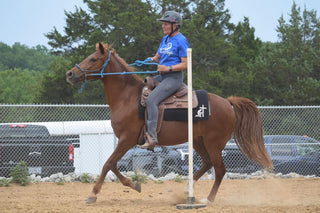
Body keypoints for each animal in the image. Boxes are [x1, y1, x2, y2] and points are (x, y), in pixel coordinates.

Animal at [66, 42, 274, 204]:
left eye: (93, 59)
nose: (70, 74)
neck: (127, 98)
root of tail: (228, 103)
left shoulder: (127, 140)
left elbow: (107, 164)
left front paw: (93, 194)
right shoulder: (125, 142)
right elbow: (113, 165)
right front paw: (135, 184)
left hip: (214, 143)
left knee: (220, 170)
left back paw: (208, 199)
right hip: (198, 141)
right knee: (207, 164)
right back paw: (186, 191)